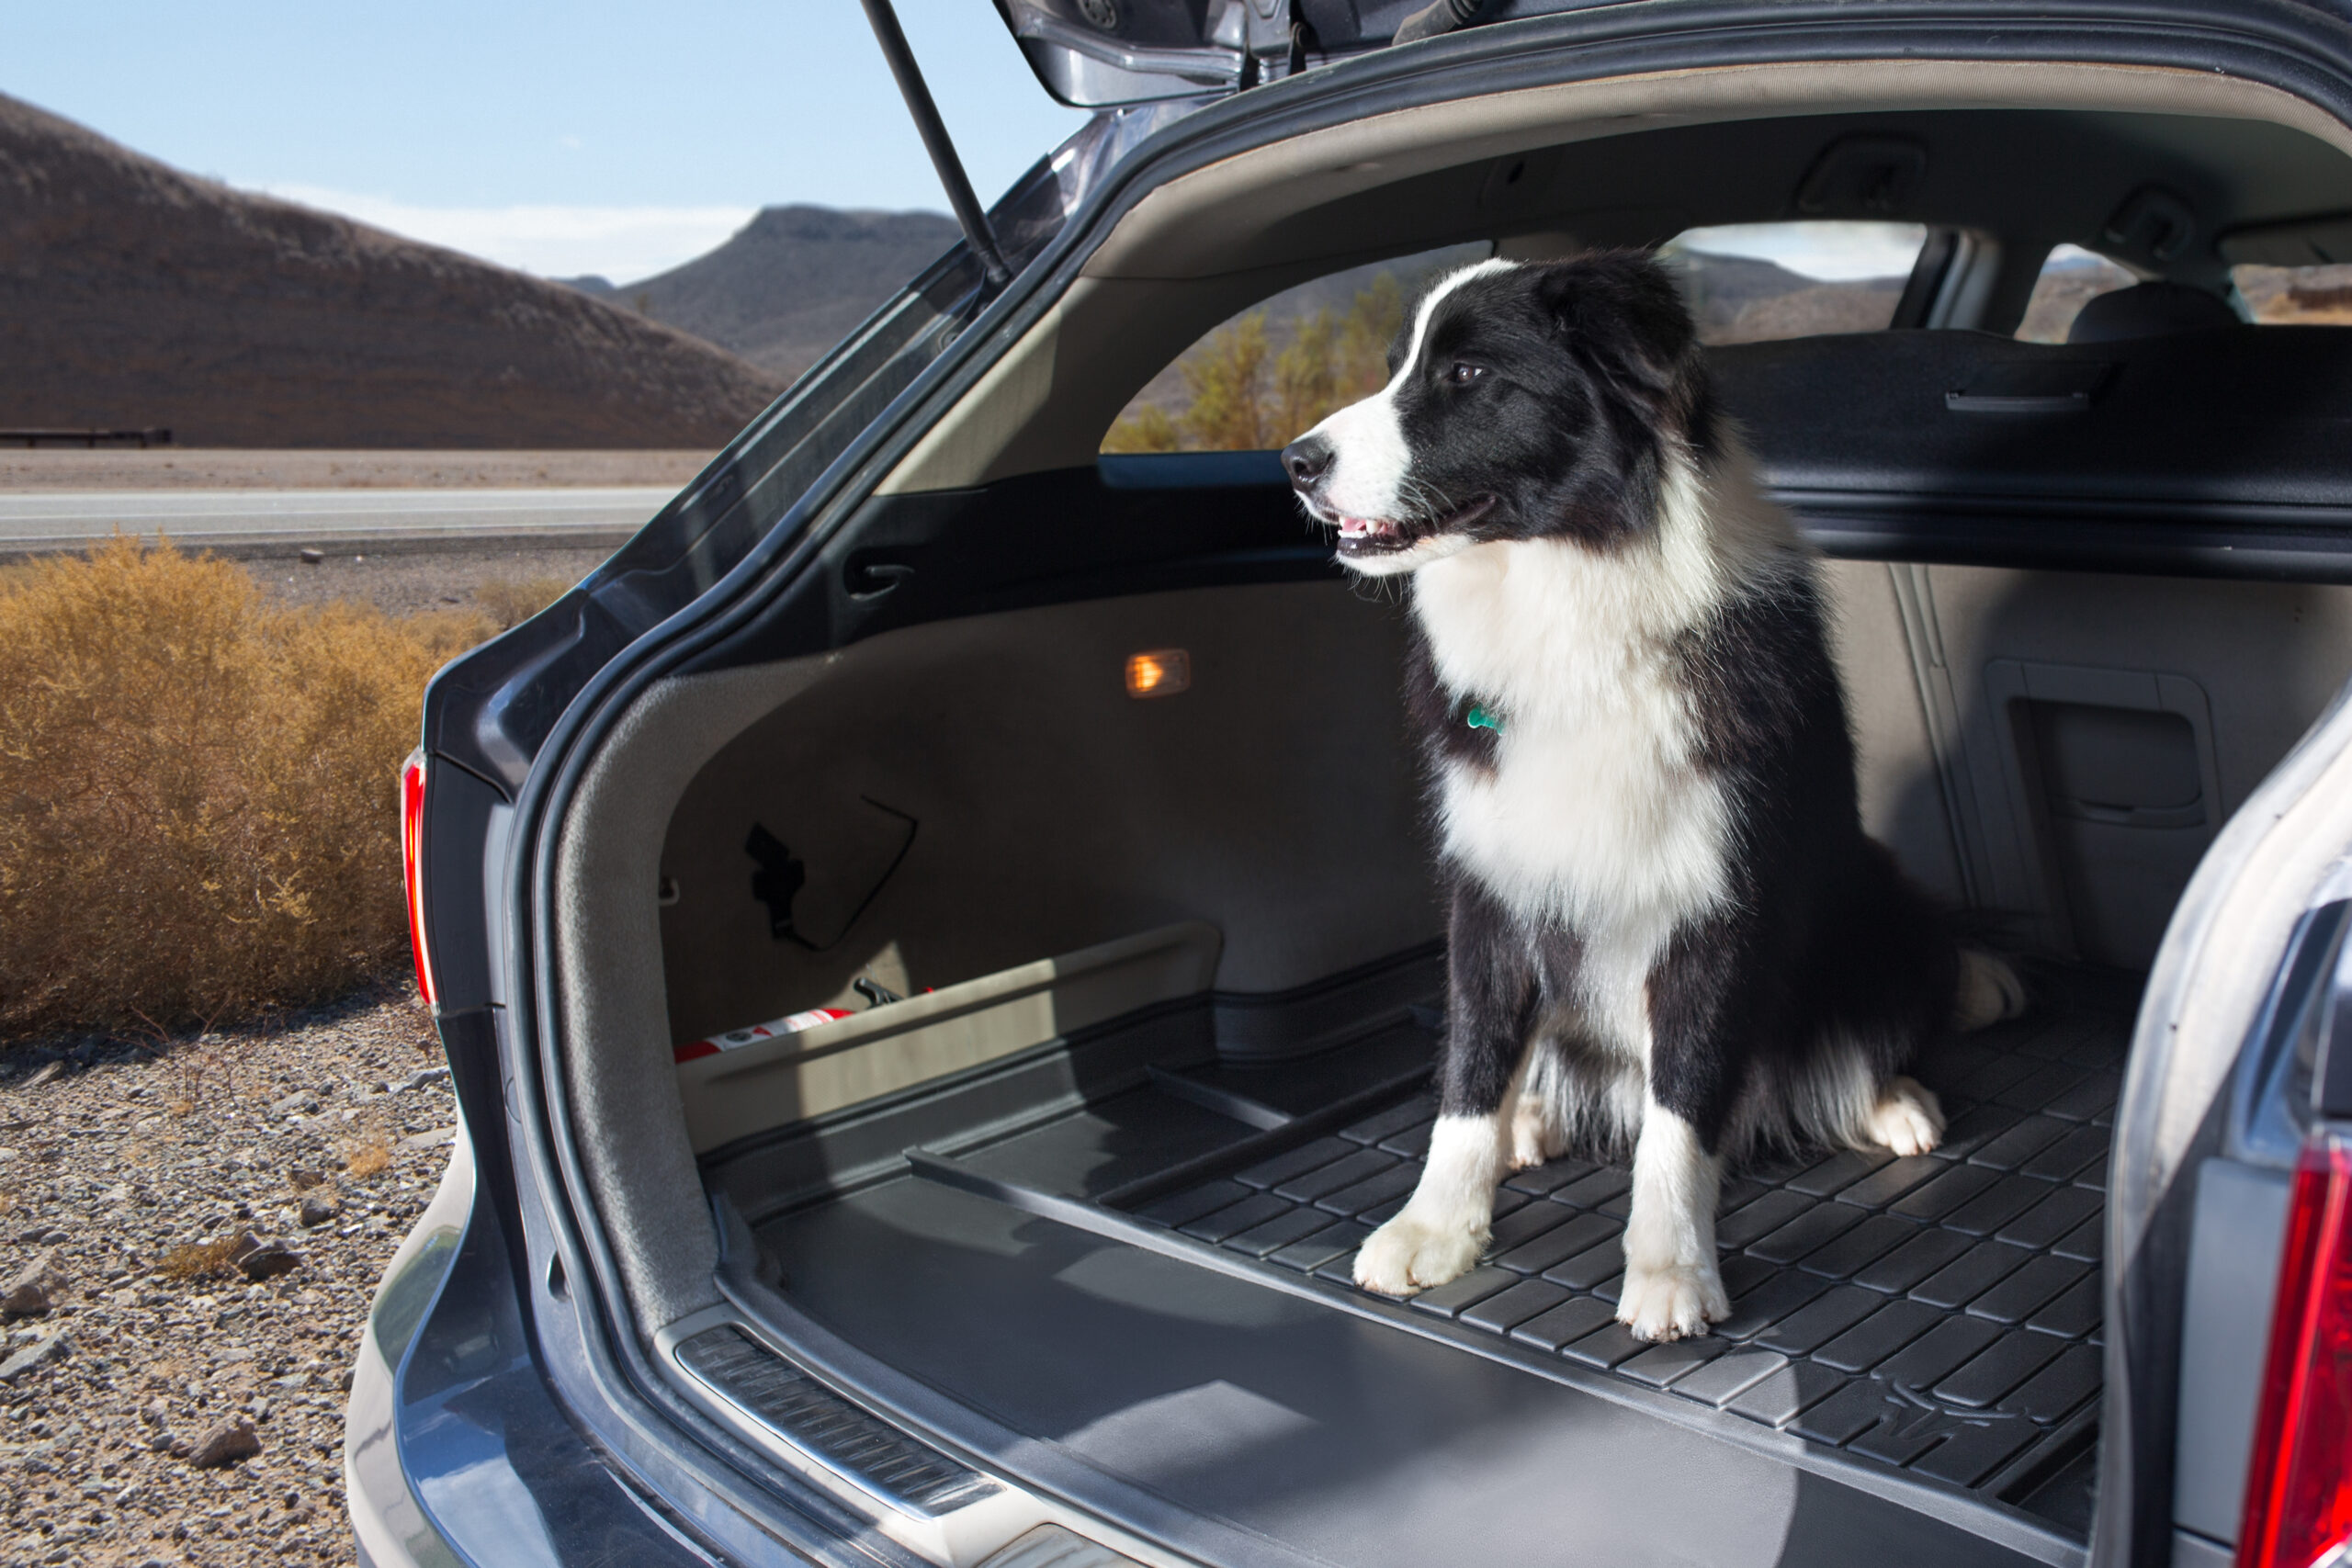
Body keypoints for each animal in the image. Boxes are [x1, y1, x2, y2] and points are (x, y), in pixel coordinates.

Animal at [1279, 251, 2013, 1344]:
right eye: (1398, 366)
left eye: (1466, 376)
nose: (1295, 462)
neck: (1571, 604)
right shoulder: (1490, 885)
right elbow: (1468, 1070)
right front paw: (1436, 1226)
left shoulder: (1716, 899)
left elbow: (1682, 1107)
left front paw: (1670, 1269)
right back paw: (1533, 1118)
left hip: (1878, 895)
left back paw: (1890, 1098)